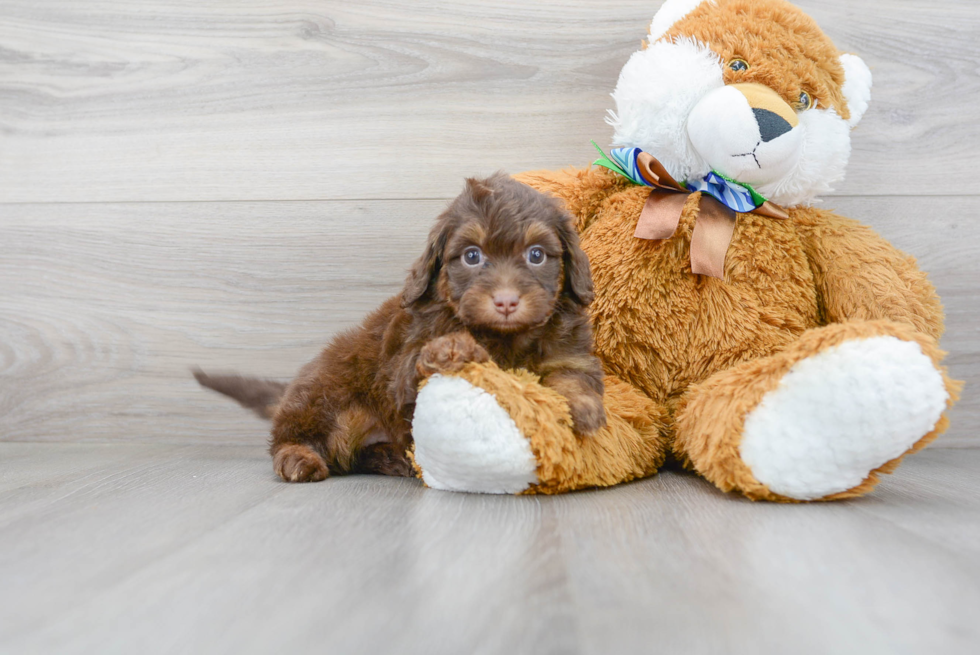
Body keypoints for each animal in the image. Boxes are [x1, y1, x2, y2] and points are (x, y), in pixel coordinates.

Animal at [195, 173, 600, 482]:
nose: (505, 302)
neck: (504, 337)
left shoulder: (569, 350)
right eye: (472, 256)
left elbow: (574, 374)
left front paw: (582, 408)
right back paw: (298, 457)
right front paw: (453, 346)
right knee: (293, 434)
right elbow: (420, 360)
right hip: (322, 394)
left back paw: (393, 457)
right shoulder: (403, 365)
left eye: (536, 255)